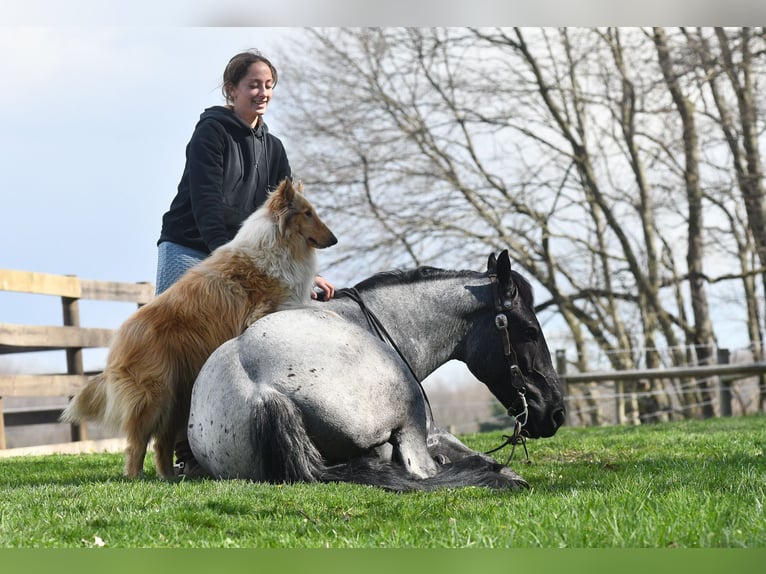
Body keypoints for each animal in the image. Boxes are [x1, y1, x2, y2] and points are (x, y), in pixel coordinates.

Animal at [187, 250, 566, 490]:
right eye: (530, 331)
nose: (556, 412)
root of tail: (260, 390)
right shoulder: (429, 432)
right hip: (409, 416)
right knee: (423, 472)